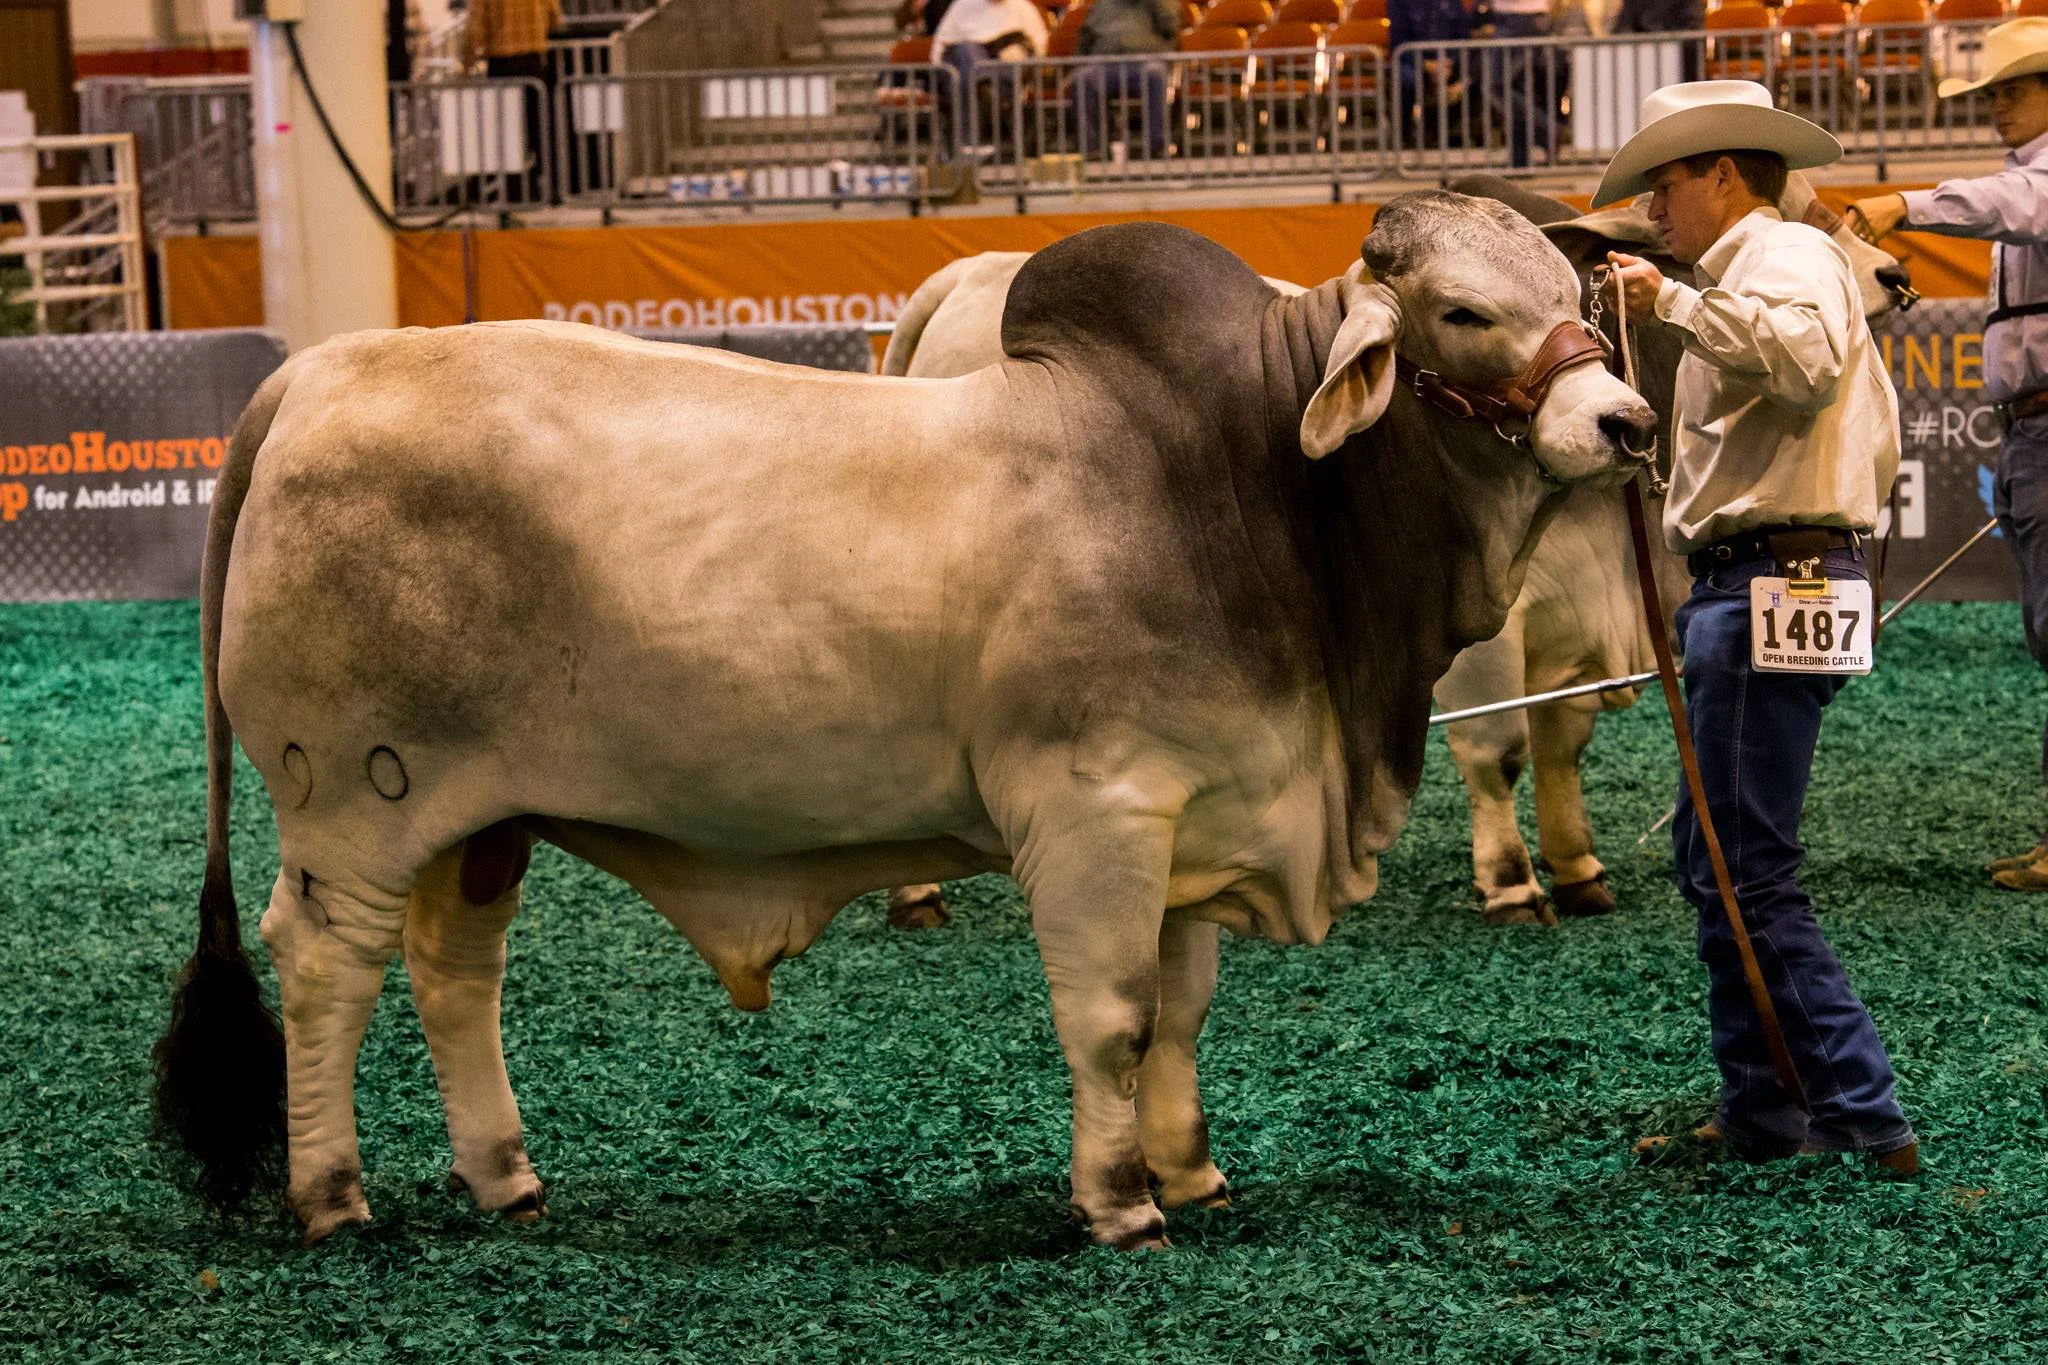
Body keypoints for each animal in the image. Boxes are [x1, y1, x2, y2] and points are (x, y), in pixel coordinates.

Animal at [155, 198, 1655, 1254]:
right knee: (328, 967)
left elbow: (1180, 1014)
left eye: (1572, 293)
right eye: (1461, 309)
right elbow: (1113, 1018)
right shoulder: (1099, 812)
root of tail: (323, 374)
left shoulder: (1190, 817)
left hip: (485, 818)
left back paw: (506, 1179)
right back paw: (332, 1193)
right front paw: (1120, 1204)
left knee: (456, 974)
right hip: (354, 804)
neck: (1245, 479)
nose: (1628, 418)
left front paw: (1193, 1172)